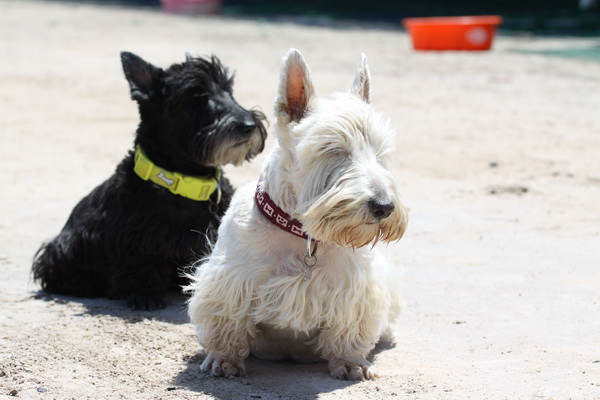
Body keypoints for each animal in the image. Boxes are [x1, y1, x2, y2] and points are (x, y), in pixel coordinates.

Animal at [32, 51, 268, 310]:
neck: (184, 180)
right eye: (196, 96)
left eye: (228, 90)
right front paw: (144, 295)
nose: (248, 126)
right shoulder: (134, 240)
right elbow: (141, 265)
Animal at [186, 49, 408, 382]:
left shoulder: (356, 289)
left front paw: (350, 361)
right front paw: (224, 359)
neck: (303, 235)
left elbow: (349, 328)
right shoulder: (230, 280)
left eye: (380, 153)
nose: (383, 207)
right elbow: (228, 321)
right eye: (334, 149)